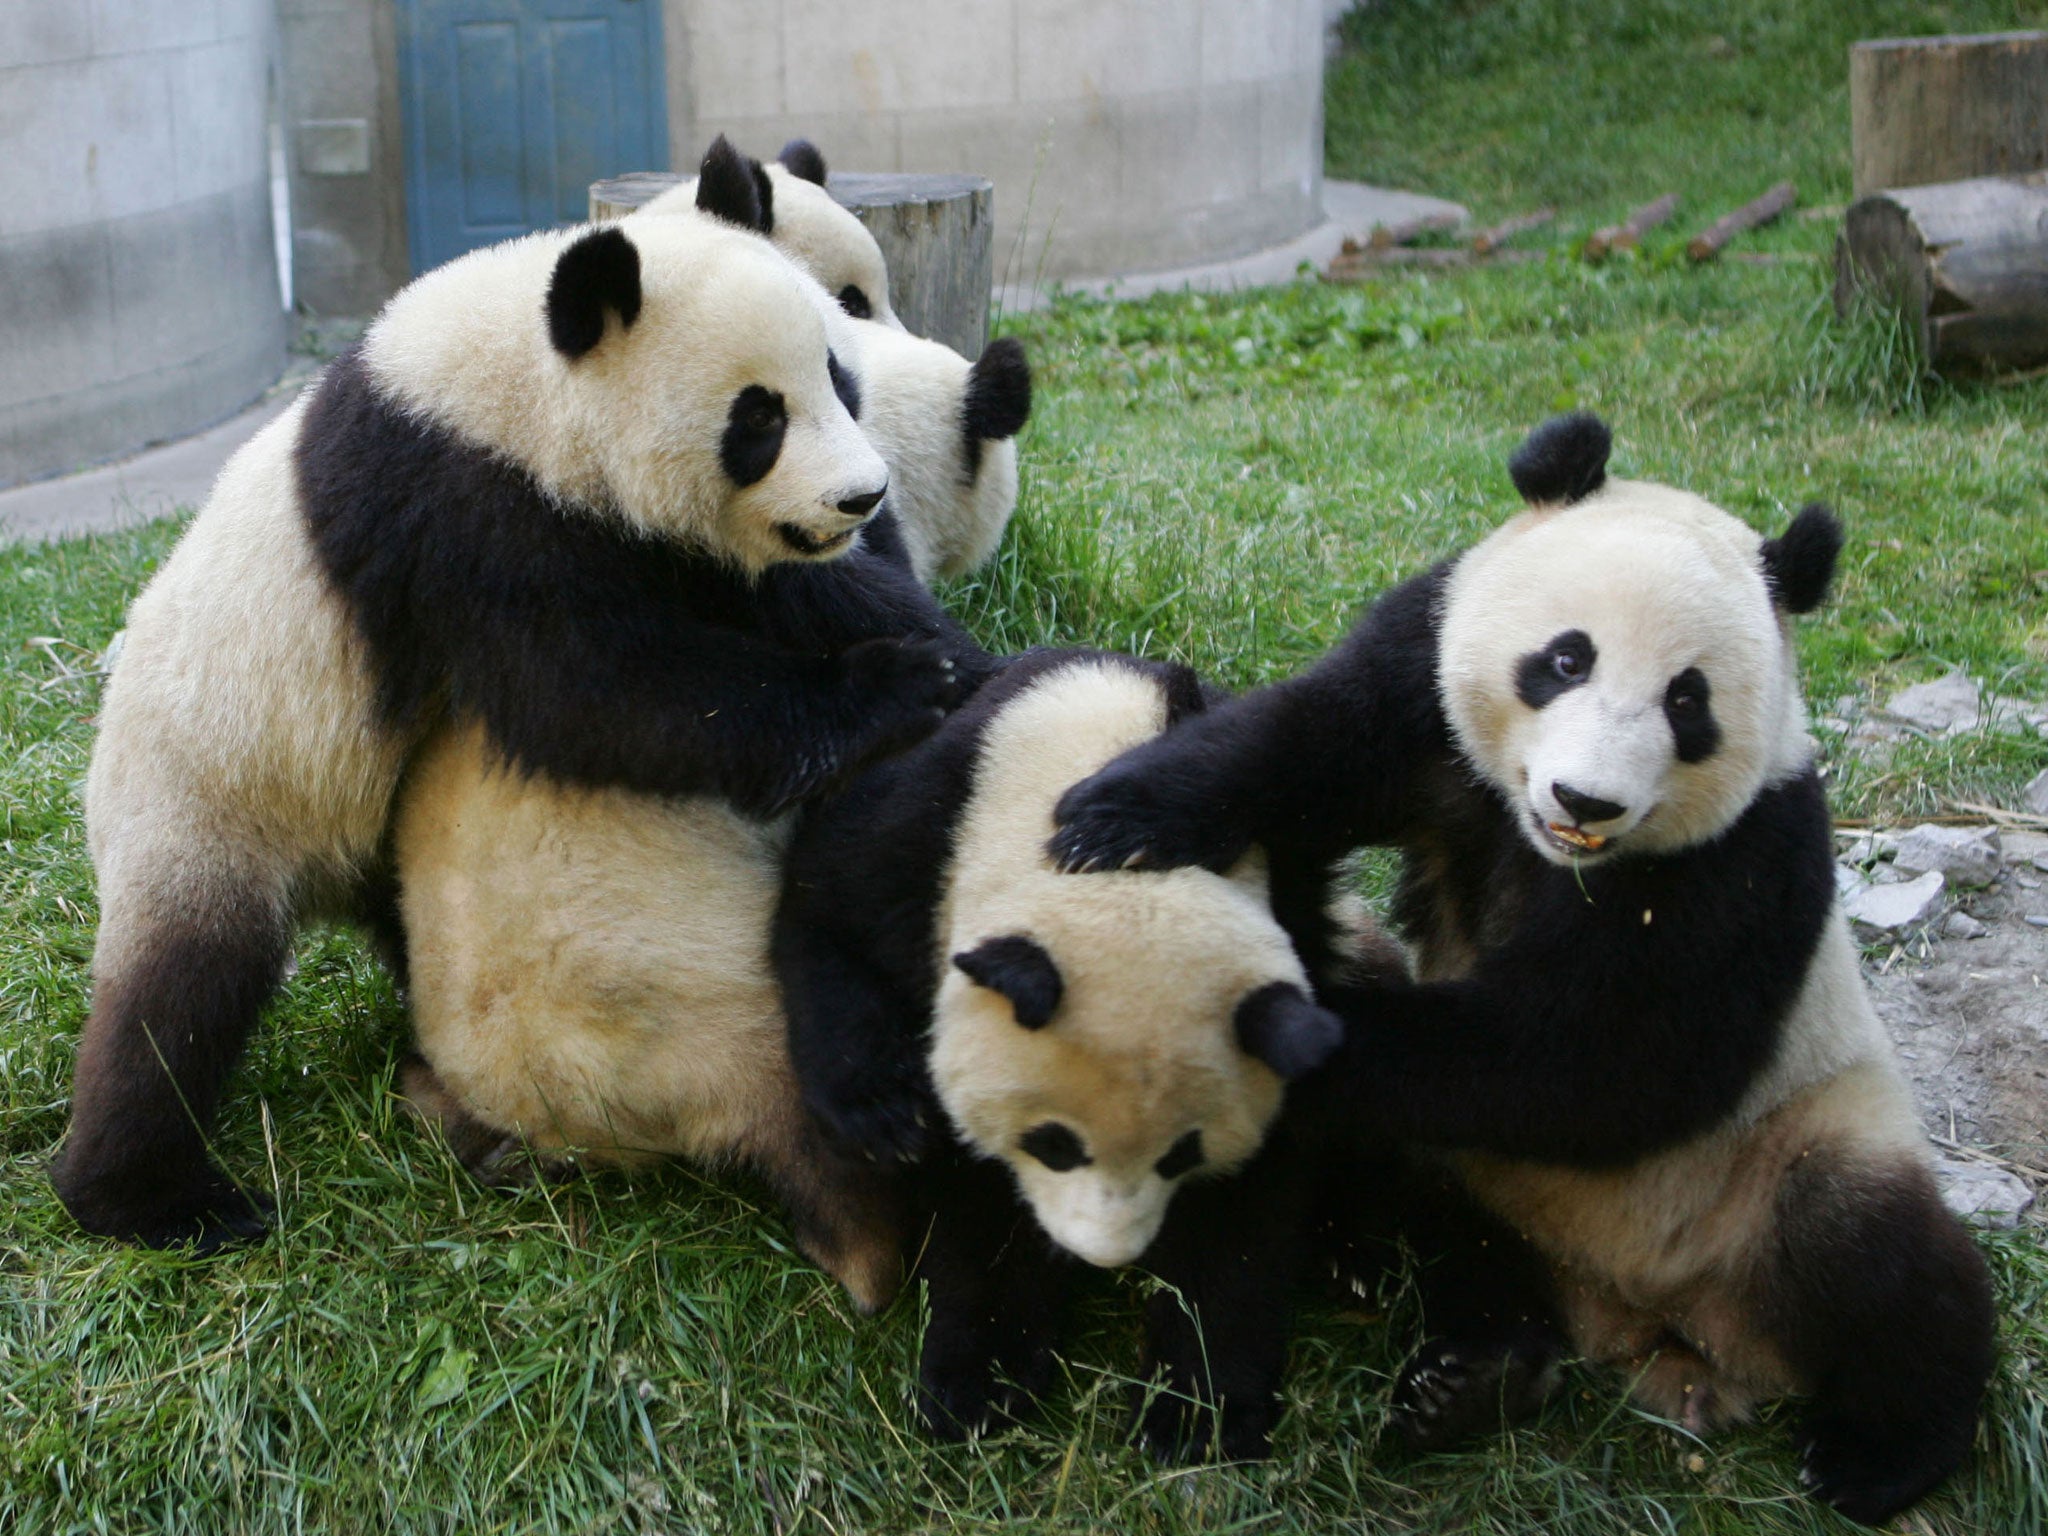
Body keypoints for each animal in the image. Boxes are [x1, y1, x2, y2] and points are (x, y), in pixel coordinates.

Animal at [54, 138, 966, 1253]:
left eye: (838, 377)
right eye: (758, 418)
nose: (860, 498)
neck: (510, 379)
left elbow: (765, 596)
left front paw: (924, 639)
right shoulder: (461, 511)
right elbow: (593, 691)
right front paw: (897, 683)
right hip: (206, 801)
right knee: (178, 995)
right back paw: (150, 1196)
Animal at [770, 643, 1359, 1458]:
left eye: (1182, 1156)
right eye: (1052, 1144)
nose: (1103, 1255)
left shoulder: (1286, 911)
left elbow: (1253, 1200)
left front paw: (1198, 1413)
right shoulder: (925, 829)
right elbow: (830, 919)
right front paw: (980, 1378)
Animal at [1048, 415, 1990, 1531]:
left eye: (1688, 701)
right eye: (1564, 659)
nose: (1586, 800)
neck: (1556, 856)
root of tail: (1658, 1327)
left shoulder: (1748, 861)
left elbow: (1600, 1064)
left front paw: (1297, 1028)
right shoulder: (1423, 684)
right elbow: (1302, 743)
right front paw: (1112, 820)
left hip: (1792, 1142)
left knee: (1875, 1258)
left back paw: (1879, 1453)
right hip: (1483, 1187)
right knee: (1446, 1229)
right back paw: (1478, 1374)